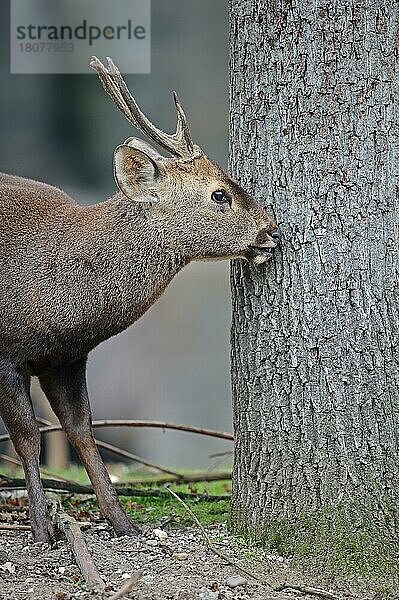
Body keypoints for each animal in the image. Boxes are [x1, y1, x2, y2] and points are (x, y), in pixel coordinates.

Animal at [0, 57, 278, 544]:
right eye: (219, 193)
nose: (272, 231)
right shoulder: (8, 354)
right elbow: (29, 437)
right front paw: (40, 529)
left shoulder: (67, 359)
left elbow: (83, 433)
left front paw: (123, 523)